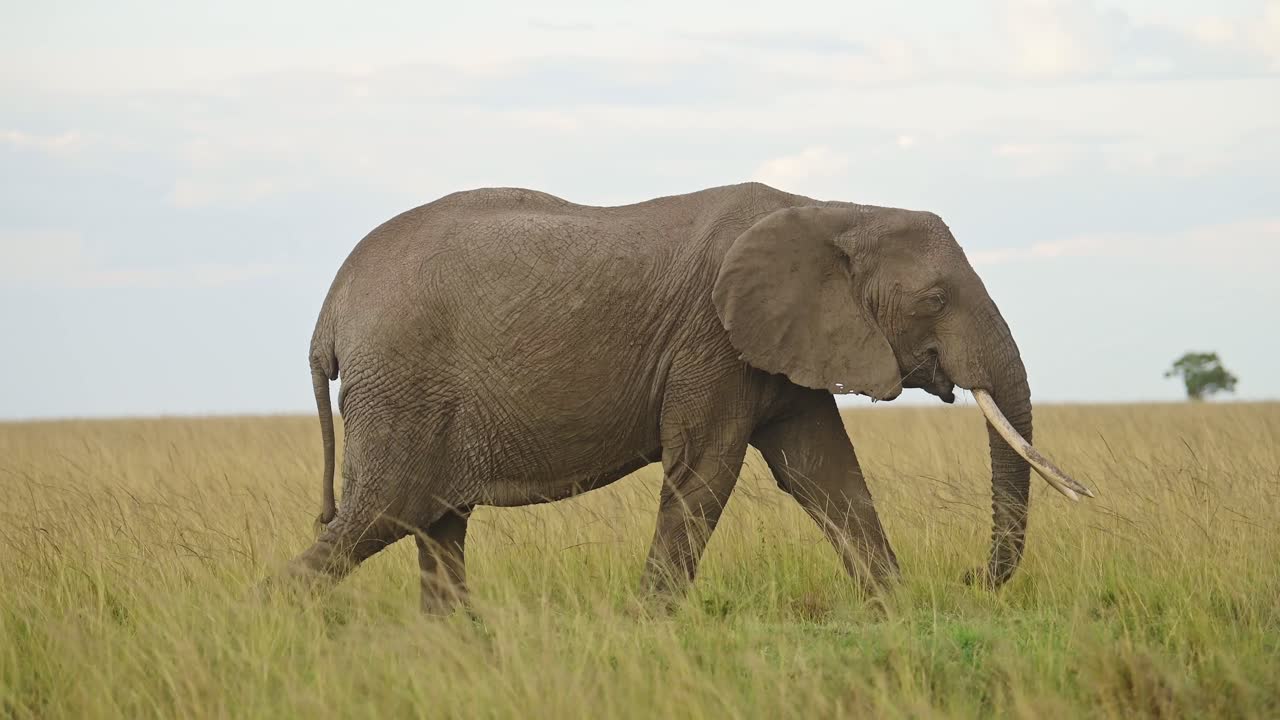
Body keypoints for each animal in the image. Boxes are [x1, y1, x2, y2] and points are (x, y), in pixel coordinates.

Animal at [284, 181, 1092, 613]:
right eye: (933, 299)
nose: (970, 577)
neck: (832, 209)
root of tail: (330, 308)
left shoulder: (779, 348)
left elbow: (825, 474)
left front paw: (896, 611)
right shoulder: (713, 343)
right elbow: (706, 471)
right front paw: (646, 625)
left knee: (437, 528)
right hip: (403, 390)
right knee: (385, 515)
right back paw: (282, 621)